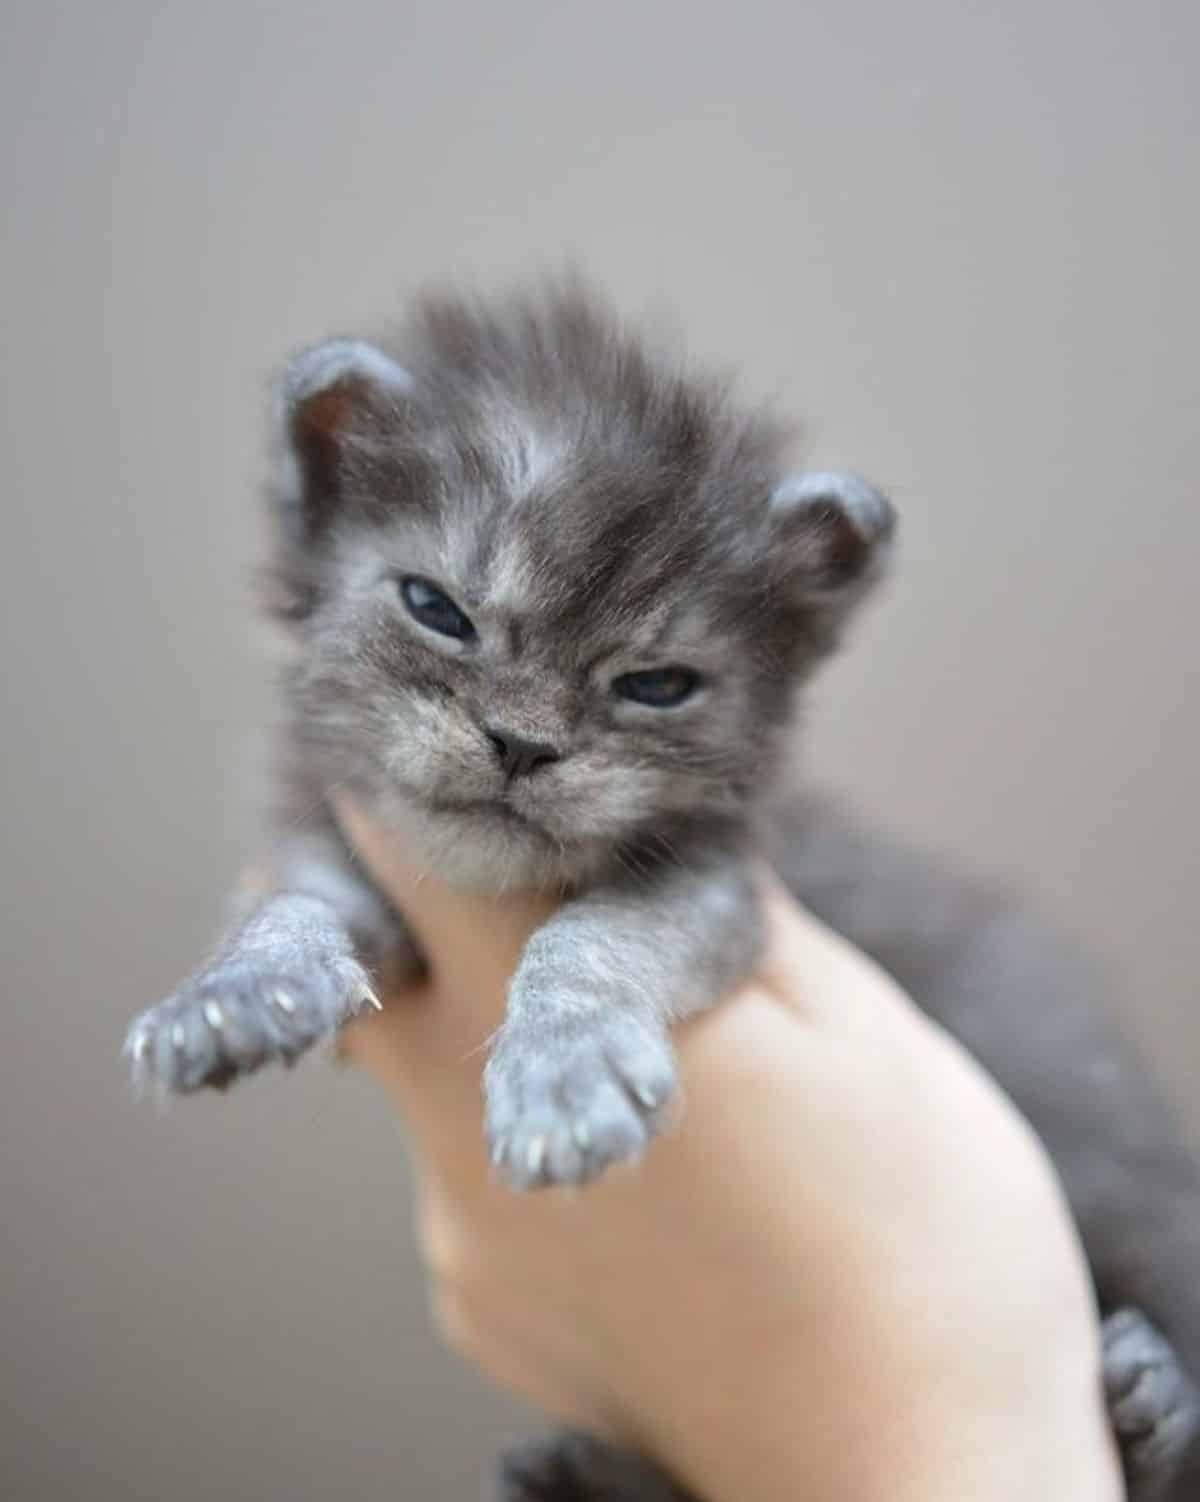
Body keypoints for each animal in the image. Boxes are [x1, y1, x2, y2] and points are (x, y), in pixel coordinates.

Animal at [124, 283, 1200, 1502]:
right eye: (435, 608)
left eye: (657, 684)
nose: (521, 744)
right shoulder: (324, 840)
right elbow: (289, 910)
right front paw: (234, 996)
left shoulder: (723, 891)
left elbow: (594, 935)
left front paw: (566, 1069)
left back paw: (1155, 1398)